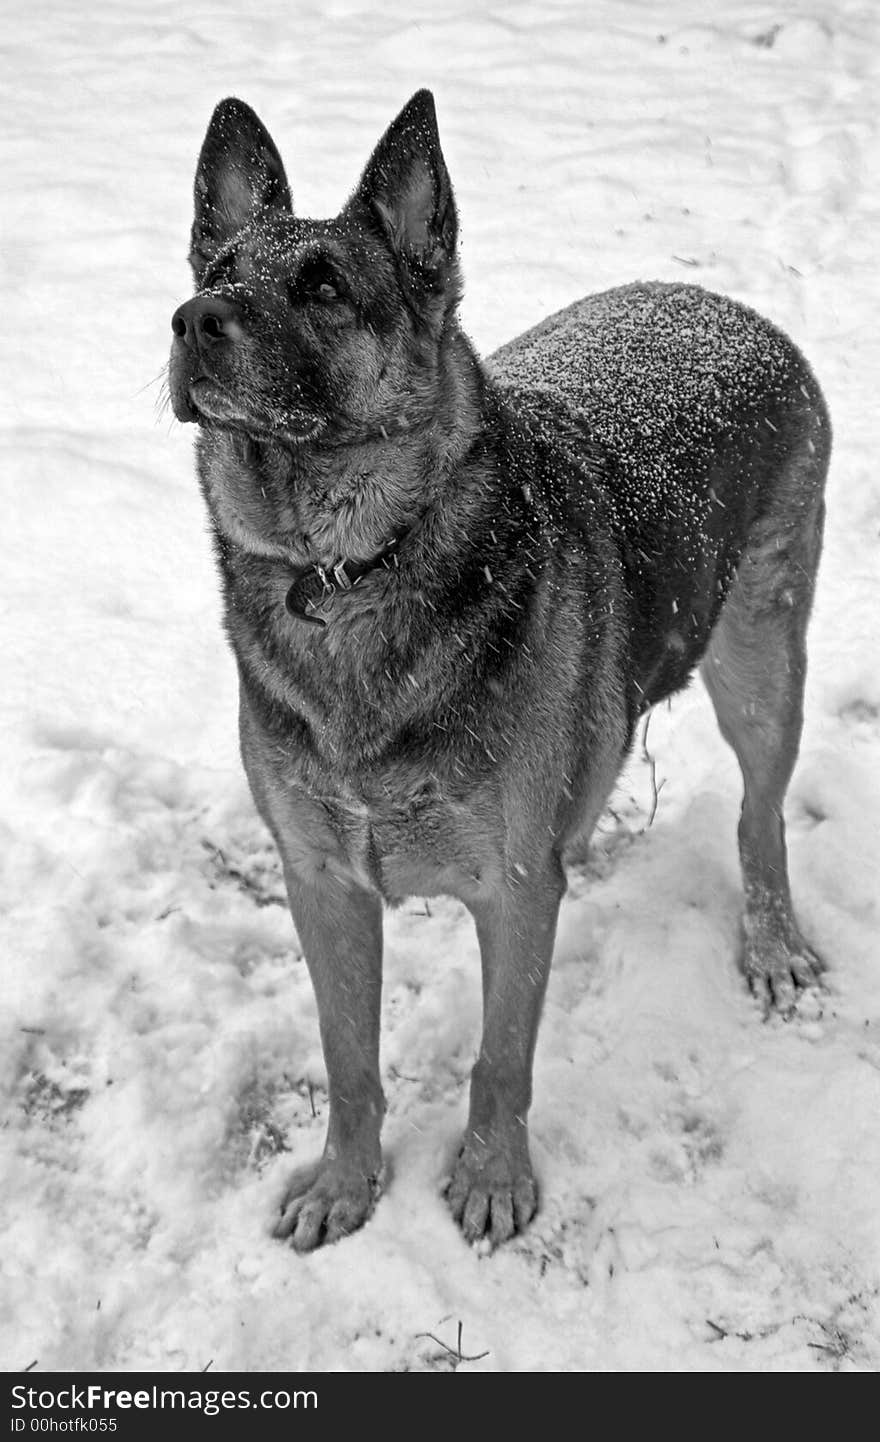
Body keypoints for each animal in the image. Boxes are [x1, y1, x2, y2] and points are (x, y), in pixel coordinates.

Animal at [169, 95, 830, 1257]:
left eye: (323, 287)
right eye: (219, 267)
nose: (191, 318)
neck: (347, 568)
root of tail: (732, 309)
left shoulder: (515, 890)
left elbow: (501, 1055)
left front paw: (491, 1176)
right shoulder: (322, 883)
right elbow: (347, 1058)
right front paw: (347, 1181)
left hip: (760, 660)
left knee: (761, 812)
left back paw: (770, 941)